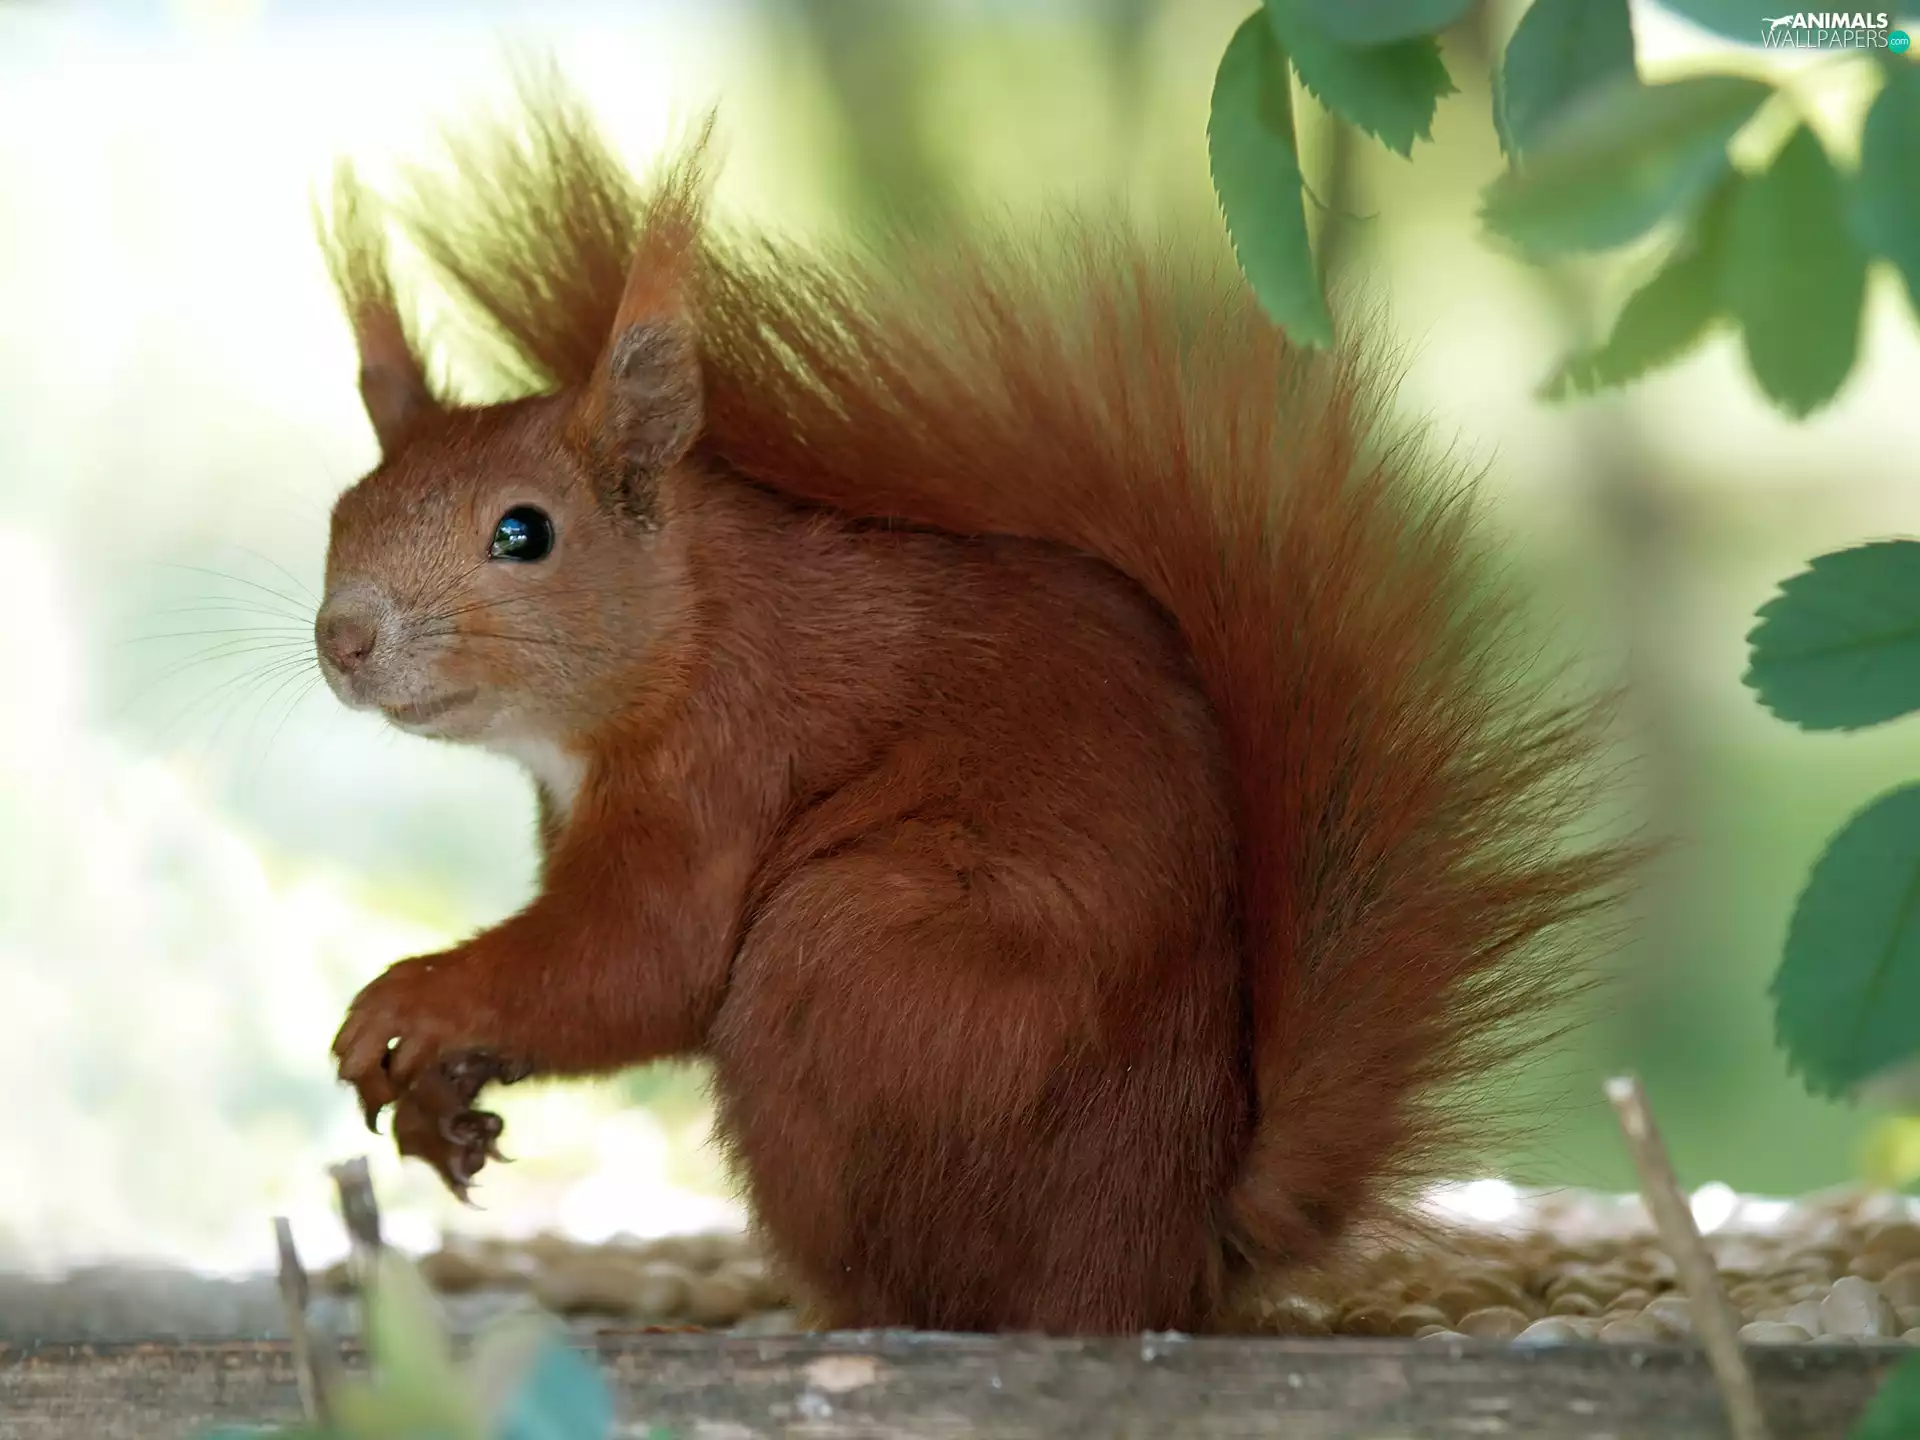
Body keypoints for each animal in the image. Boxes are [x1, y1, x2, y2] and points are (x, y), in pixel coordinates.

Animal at [310, 76, 1634, 1334]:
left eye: (523, 533)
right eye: (343, 509)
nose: (343, 638)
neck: (687, 623)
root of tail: (1180, 1247)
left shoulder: (722, 757)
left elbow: (638, 963)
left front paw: (411, 999)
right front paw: (437, 1107)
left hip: (863, 974)